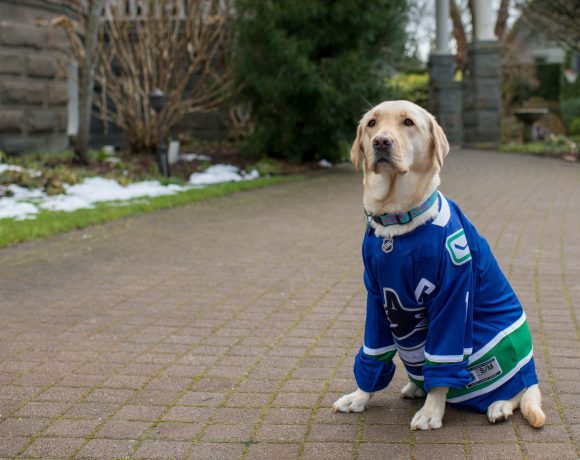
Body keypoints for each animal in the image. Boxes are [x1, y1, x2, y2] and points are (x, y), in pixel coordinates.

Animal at [334, 100, 548, 432]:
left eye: (408, 122)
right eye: (371, 124)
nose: (381, 142)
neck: (396, 223)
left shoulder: (452, 296)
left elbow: (443, 362)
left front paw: (431, 412)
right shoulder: (376, 297)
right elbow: (374, 353)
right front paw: (359, 397)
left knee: (520, 391)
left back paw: (499, 404)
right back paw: (414, 387)